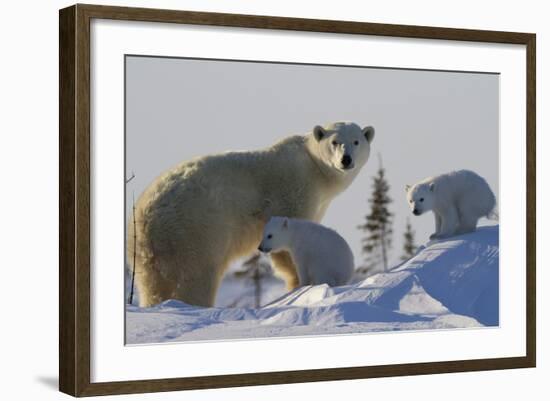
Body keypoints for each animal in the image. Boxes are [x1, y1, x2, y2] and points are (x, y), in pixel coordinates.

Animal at [129, 121, 376, 306]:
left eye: (356, 141)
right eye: (335, 142)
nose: (346, 160)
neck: (314, 167)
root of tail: (147, 216)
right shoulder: (293, 191)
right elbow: (287, 246)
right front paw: (296, 284)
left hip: (147, 254)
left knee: (152, 286)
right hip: (195, 231)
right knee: (198, 277)